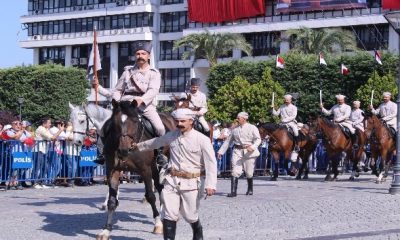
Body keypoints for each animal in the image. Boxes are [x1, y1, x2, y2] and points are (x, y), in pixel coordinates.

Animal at [96, 100, 176, 239]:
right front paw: (106, 230)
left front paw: (158, 224)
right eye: (115, 122)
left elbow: (150, 196)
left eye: (134, 121)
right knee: (159, 186)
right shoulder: (113, 171)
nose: (123, 150)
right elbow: (112, 201)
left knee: (160, 188)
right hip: (154, 167)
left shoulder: (145, 170)